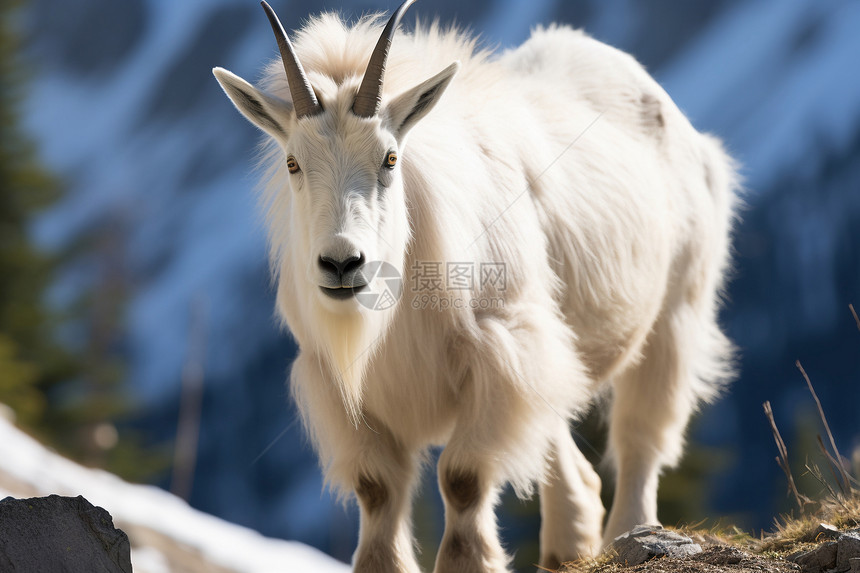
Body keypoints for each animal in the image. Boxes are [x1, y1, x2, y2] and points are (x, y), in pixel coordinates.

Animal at [215, 2, 740, 568]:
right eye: (292, 162)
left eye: (390, 158)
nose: (341, 264)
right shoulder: (342, 384)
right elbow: (377, 491)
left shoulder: (497, 356)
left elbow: (463, 480)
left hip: (675, 313)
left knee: (642, 437)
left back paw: (631, 532)